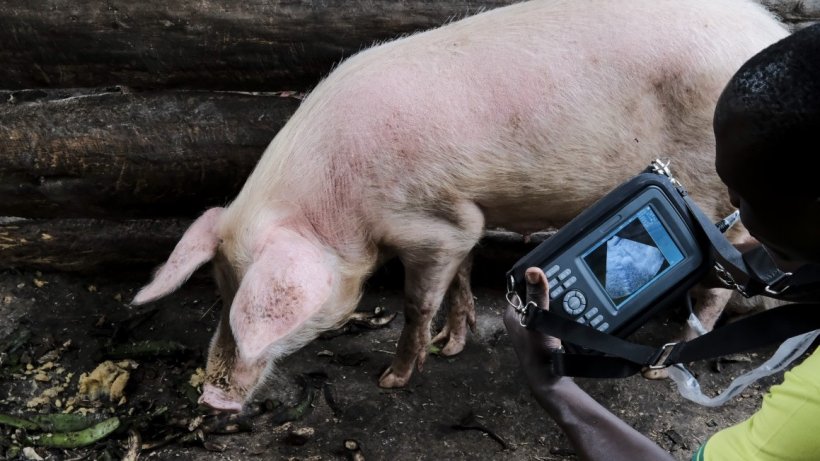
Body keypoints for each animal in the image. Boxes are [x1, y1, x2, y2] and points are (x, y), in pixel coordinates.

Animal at [131, 0, 792, 410]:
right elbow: (464, 274)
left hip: (708, 187)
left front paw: (393, 379)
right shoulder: (461, 213)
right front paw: (454, 343)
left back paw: (664, 362)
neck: (336, 205)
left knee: (726, 266)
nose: (211, 397)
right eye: (220, 289)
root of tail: (769, 33)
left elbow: (417, 301)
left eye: (253, 305)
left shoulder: (428, 223)